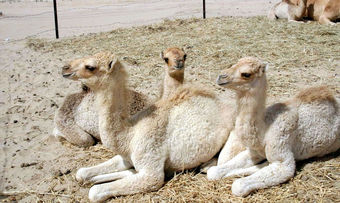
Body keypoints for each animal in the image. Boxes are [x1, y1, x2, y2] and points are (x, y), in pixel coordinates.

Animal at [64, 52, 234, 201]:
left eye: (90, 66)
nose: (65, 68)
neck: (129, 135)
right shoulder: (126, 157)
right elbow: (81, 173)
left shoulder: (151, 169)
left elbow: (95, 192)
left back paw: (206, 166)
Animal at [207, 57, 340, 197]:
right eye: (234, 63)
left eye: (246, 74)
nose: (221, 77)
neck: (264, 130)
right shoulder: (255, 151)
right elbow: (213, 172)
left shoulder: (282, 154)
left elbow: (238, 186)